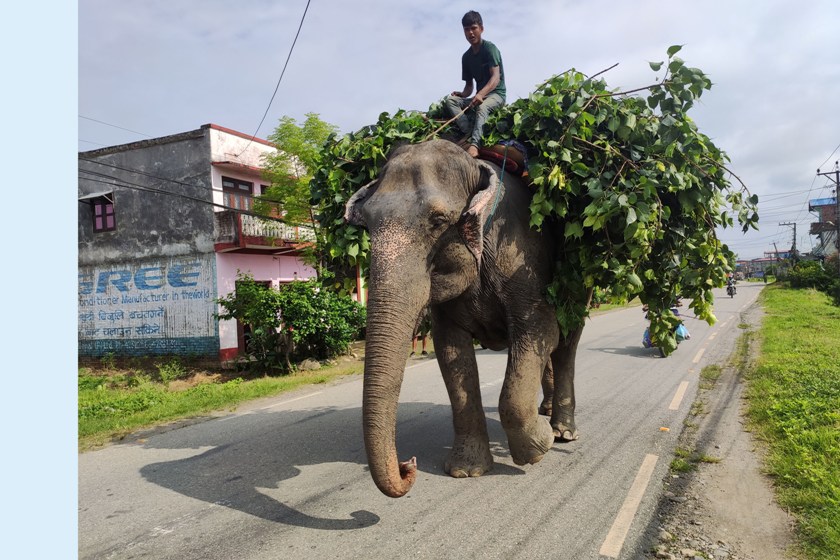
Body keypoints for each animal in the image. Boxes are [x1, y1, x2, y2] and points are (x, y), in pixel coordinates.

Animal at [344, 138, 580, 496]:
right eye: (367, 225)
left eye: (438, 221)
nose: (408, 465)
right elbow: (451, 351)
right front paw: (466, 471)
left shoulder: (522, 257)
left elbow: (540, 329)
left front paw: (539, 447)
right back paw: (547, 411)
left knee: (567, 339)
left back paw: (562, 431)